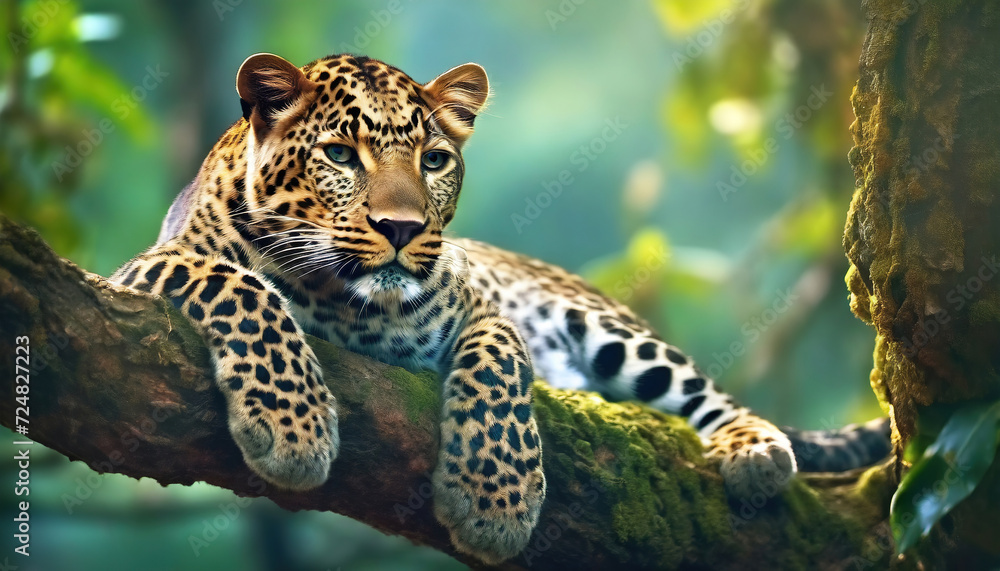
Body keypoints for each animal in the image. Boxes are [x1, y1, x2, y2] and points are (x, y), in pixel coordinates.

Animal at [111, 52, 891, 564]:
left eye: (434, 161)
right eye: (340, 155)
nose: (403, 229)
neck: (342, 302)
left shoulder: (485, 308)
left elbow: (500, 365)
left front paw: (495, 502)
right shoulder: (143, 267)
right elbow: (239, 286)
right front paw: (292, 425)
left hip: (609, 327)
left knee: (706, 394)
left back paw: (753, 448)